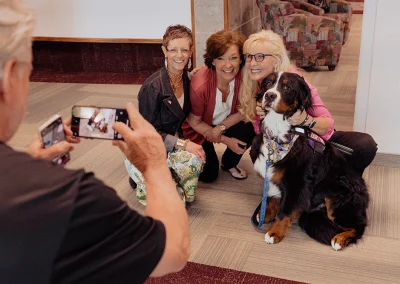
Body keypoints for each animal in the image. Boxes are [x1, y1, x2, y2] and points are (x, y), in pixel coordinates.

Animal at [250, 71, 368, 251]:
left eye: (286, 87)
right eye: (268, 83)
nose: (269, 95)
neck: (277, 134)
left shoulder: (297, 183)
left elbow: (285, 210)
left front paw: (275, 232)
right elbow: (272, 197)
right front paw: (265, 212)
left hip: (337, 197)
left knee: (358, 226)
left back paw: (339, 239)